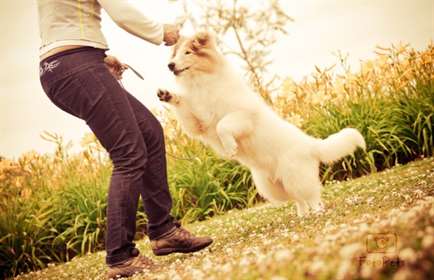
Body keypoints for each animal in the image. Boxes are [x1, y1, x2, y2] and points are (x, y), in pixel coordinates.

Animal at [157, 32, 366, 217]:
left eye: (187, 53)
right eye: (175, 54)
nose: (169, 65)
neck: (201, 83)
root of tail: (311, 144)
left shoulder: (244, 116)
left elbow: (223, 125)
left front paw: (231, 147)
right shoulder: (198, 123)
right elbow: (185, 106)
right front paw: (167, 95)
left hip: (296, 176)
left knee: (312, 195)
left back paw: (317, 212)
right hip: (273, 187)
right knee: (298, 199)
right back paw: (302, 216)